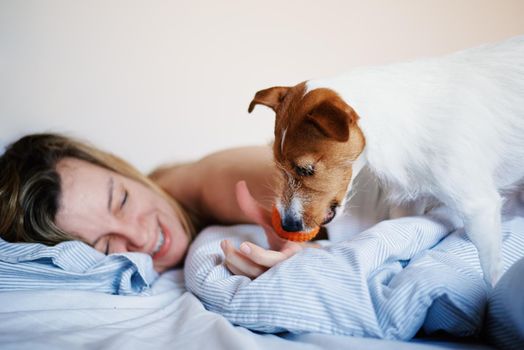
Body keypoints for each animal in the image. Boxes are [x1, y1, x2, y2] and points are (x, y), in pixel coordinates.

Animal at [247, 35, 524, 286]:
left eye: (306, 169)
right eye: (279, 168)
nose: (287, 225)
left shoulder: (478, 207)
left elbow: (491, 273)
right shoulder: (407, 203)